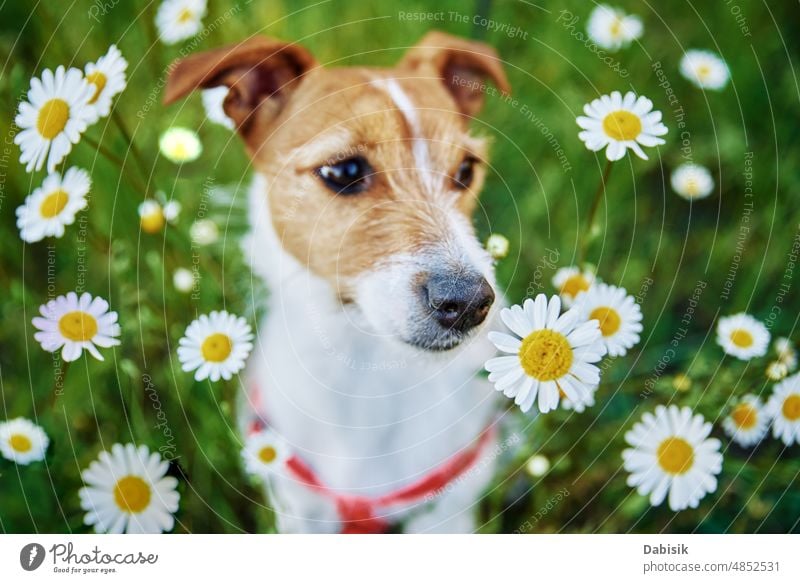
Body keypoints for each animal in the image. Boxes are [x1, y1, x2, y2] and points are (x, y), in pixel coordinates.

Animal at [165, 32, 510, 532]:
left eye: (466, 170)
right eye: (344, 171)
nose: (469, 303)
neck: (365, 365)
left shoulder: (448, 511)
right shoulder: (300, 510)